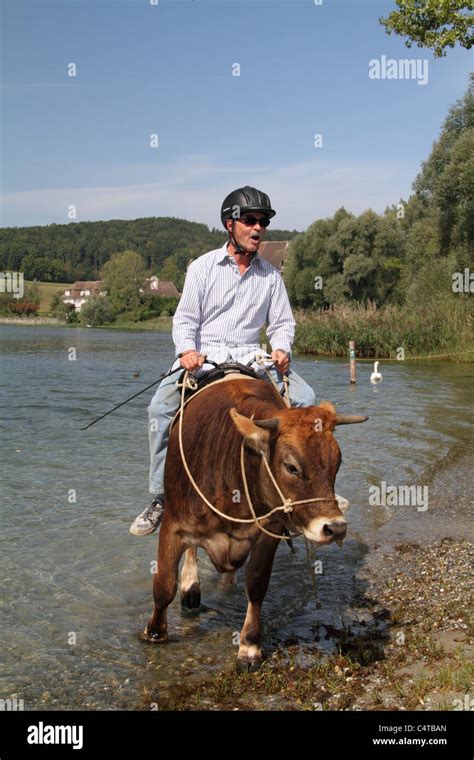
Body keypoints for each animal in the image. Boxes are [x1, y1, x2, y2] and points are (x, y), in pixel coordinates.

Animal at [141, 374, 366, 672]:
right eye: (292, 467)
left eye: (337, 463)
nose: (335, 528)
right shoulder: (173, 526)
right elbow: (164, 585)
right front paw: (155, 632)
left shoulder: (268, 532)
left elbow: (257, 585)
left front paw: (249, 646)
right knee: (191, 554)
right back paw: (190, 585)